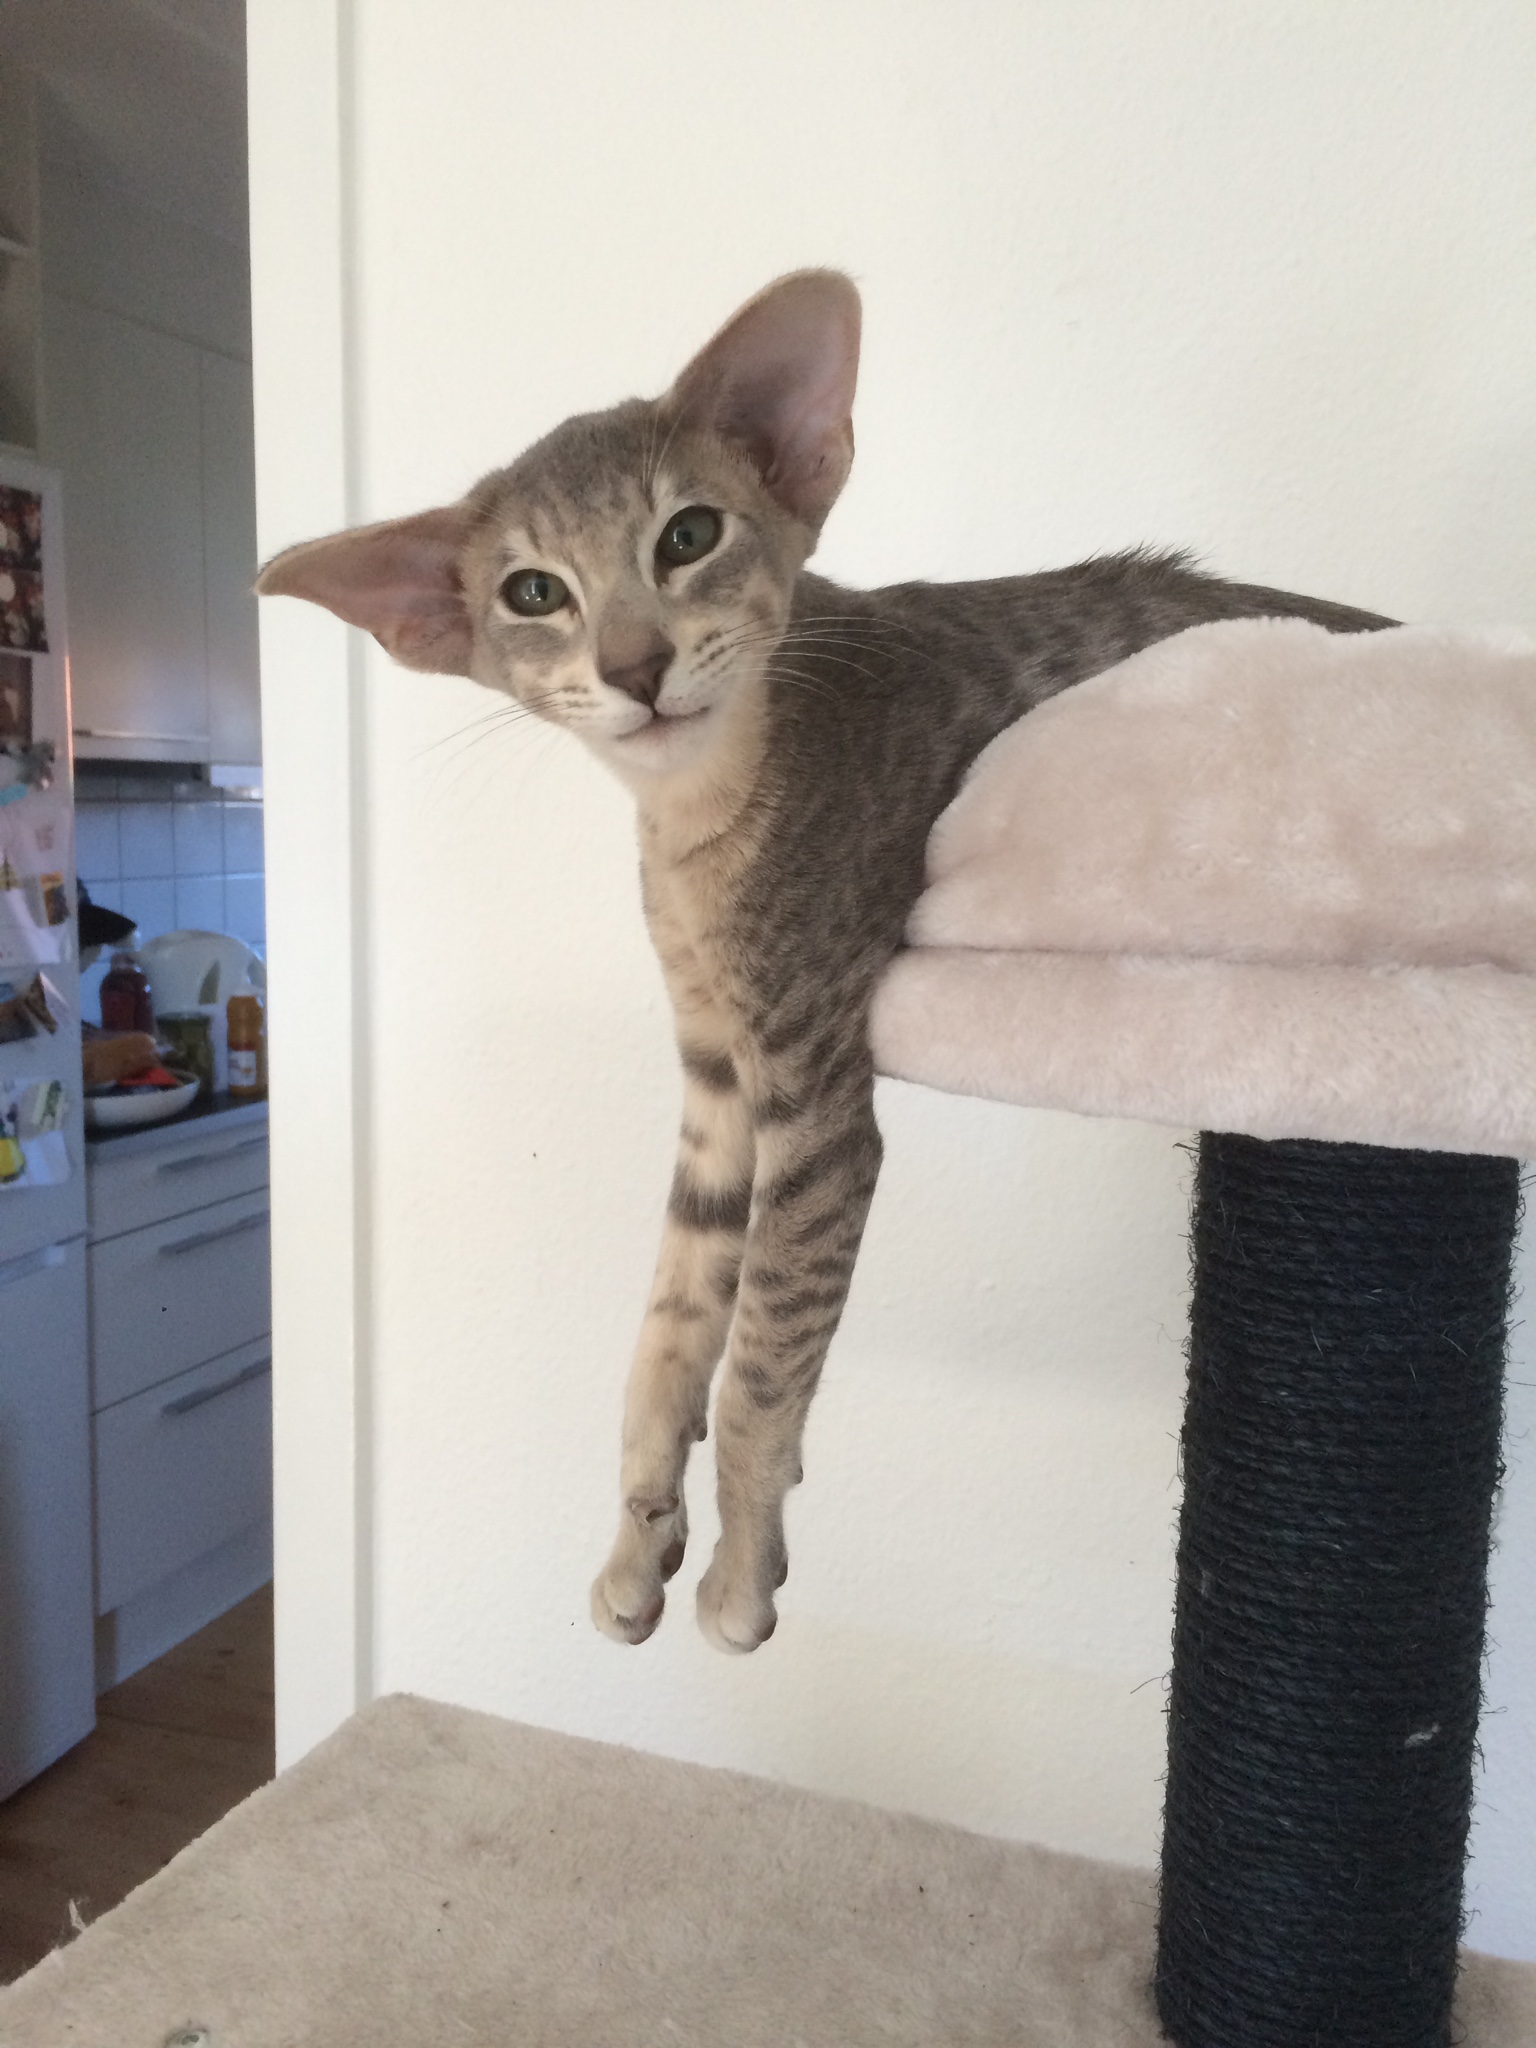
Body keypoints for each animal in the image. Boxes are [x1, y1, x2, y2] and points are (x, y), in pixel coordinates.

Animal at [257, 270, 1389, 1654]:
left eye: (688, 536)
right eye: (532, 593)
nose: (634, 666)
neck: (694, 816)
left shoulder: (818, 1096)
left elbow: (761, 1355)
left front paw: (739, 1572)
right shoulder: (715, 1077)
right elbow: (671, 1324)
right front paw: (637, 1539)